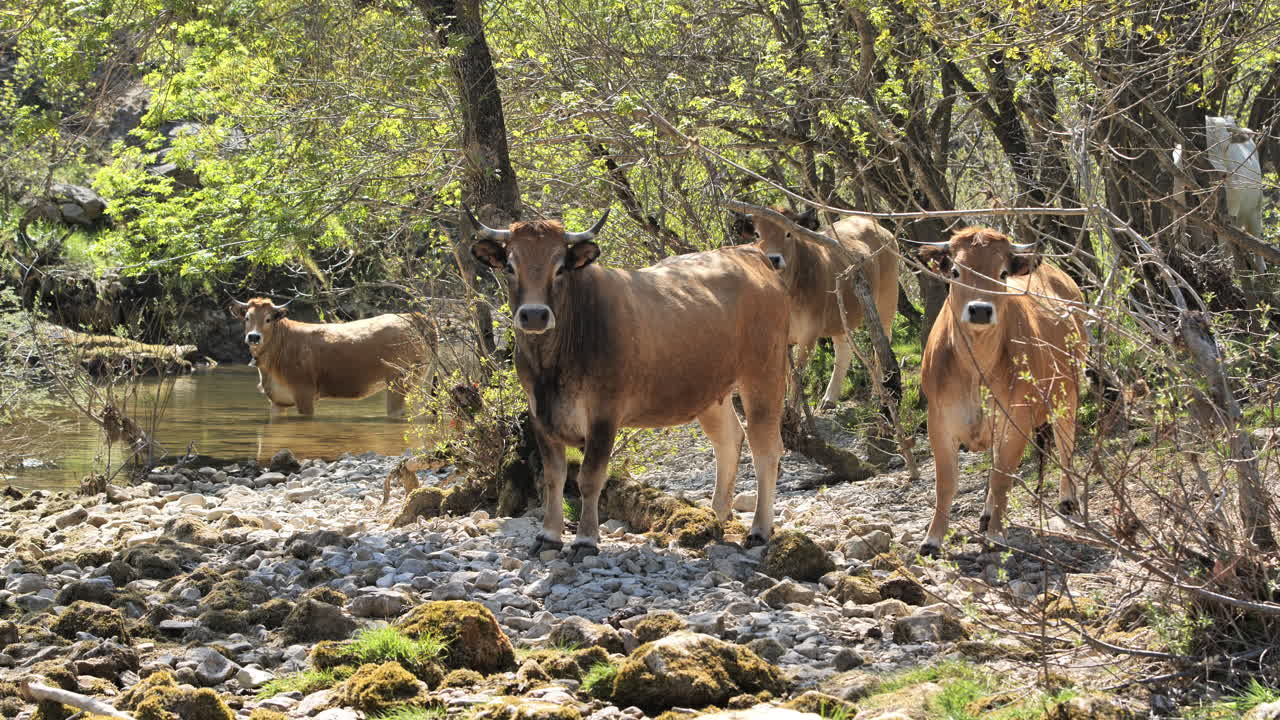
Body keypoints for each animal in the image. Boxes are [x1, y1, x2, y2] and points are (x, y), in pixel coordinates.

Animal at [229, 297, 432, 418]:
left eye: (268, 319)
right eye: (247, 318)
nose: (254, 337)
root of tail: (413, 316)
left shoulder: (305, 393)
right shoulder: (277, 400)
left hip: (399, 382)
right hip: (417, 382)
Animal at [465, 205, 791, 561]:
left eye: (560, 266)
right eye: (511, 266)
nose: (534, 315)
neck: (551, 367)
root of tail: (748, 252)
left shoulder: (604, 413)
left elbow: (590, 477)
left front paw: (585, 540)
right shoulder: (540, 415)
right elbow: (553, 478)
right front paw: (548, 536)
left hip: (765, 374)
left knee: (766, 449)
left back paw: (759, 530)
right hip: (711, 391)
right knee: (729, 441)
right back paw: (715, 518)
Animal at [745, 207, 899, 409]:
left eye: (788, 233)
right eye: (757, 234)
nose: (773, 258)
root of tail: (870, 221)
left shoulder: (809, 333)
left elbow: (797, 375)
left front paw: (794, 410)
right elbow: (782, 376)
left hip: (887, 298)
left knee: (882, 341)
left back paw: (879, 394)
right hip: (842, 315)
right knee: (844, 350)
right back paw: (829, 398)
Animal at [915, 227, 1086, 557]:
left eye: (1002, 273)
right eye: (955, 271)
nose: (980, 310)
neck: (975, 370)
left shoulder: (1017, 419)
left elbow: (1002, 477)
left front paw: (996, 534)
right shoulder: (938, 420)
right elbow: (946, 483)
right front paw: (932, 540)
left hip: (1067, 393)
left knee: (1065, 442)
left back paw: (1068, 500)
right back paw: (984, 515)